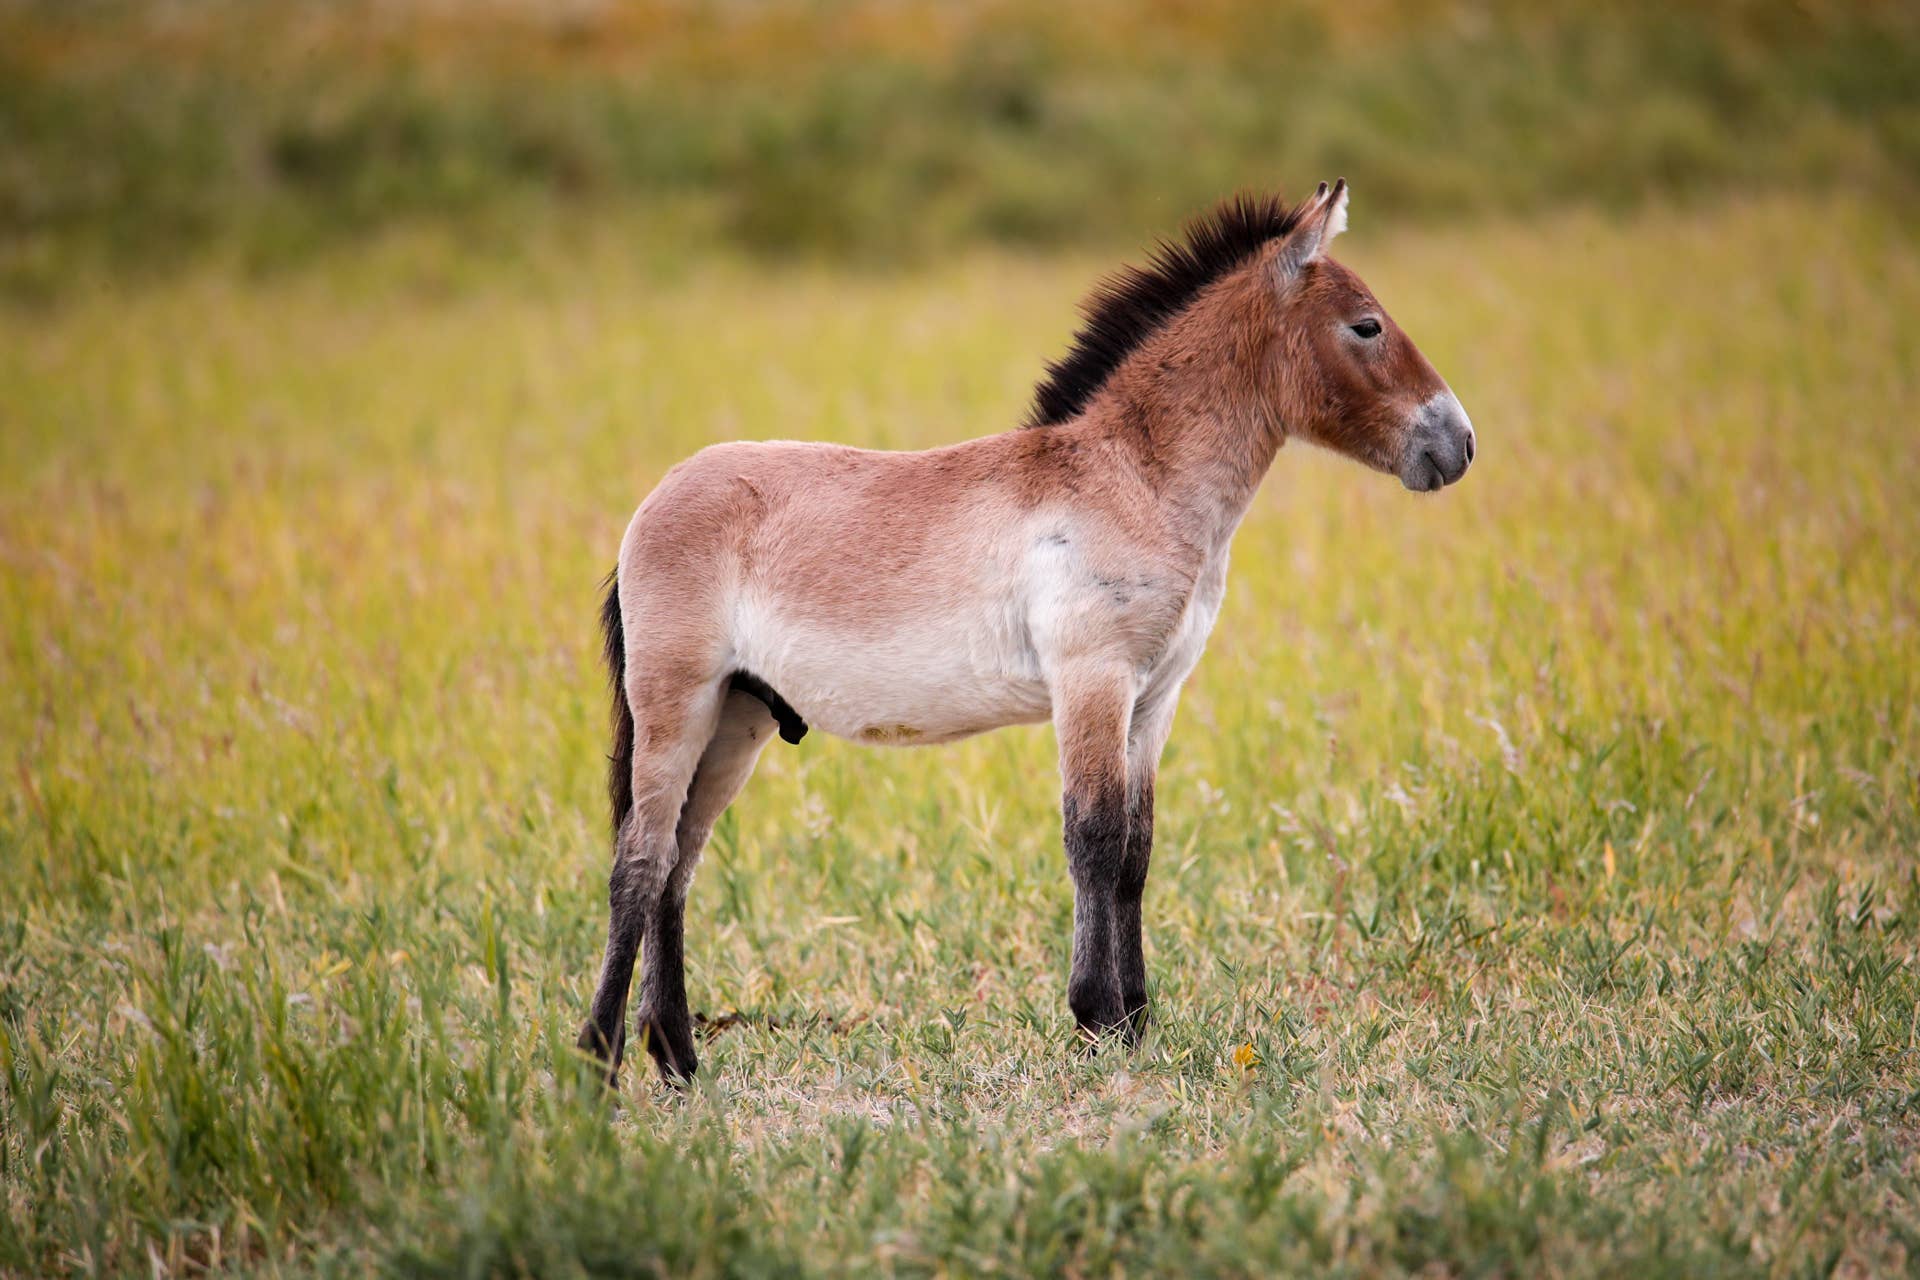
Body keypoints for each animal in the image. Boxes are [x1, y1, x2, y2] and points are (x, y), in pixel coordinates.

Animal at [577, 180, 1475, 1085]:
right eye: (1367, 326)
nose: (1458, 443)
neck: (1133, 480)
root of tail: (652, 505)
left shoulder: (1154, 701)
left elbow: (1136, 851)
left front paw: (1137, 1021)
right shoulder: (1092, 680)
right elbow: (1094, 837)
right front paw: (1098, 1017)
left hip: (739, 718)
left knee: (678, 867)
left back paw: (677, 1056)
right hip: (676, 706)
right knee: (639, 863)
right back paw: (600, 1055)